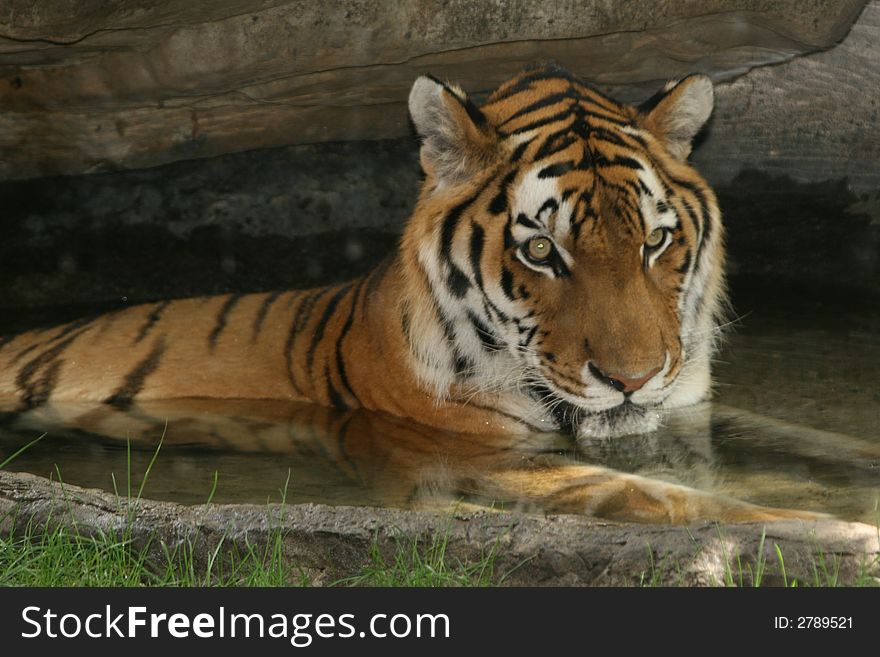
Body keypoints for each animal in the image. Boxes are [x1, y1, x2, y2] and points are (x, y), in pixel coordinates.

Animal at [0, 64, 824, 520]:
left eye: (654, 242)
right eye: (540, 250)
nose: (633, 378)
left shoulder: (690, 407)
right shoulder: (477, 452)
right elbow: (662, 497)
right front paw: (820, 530)